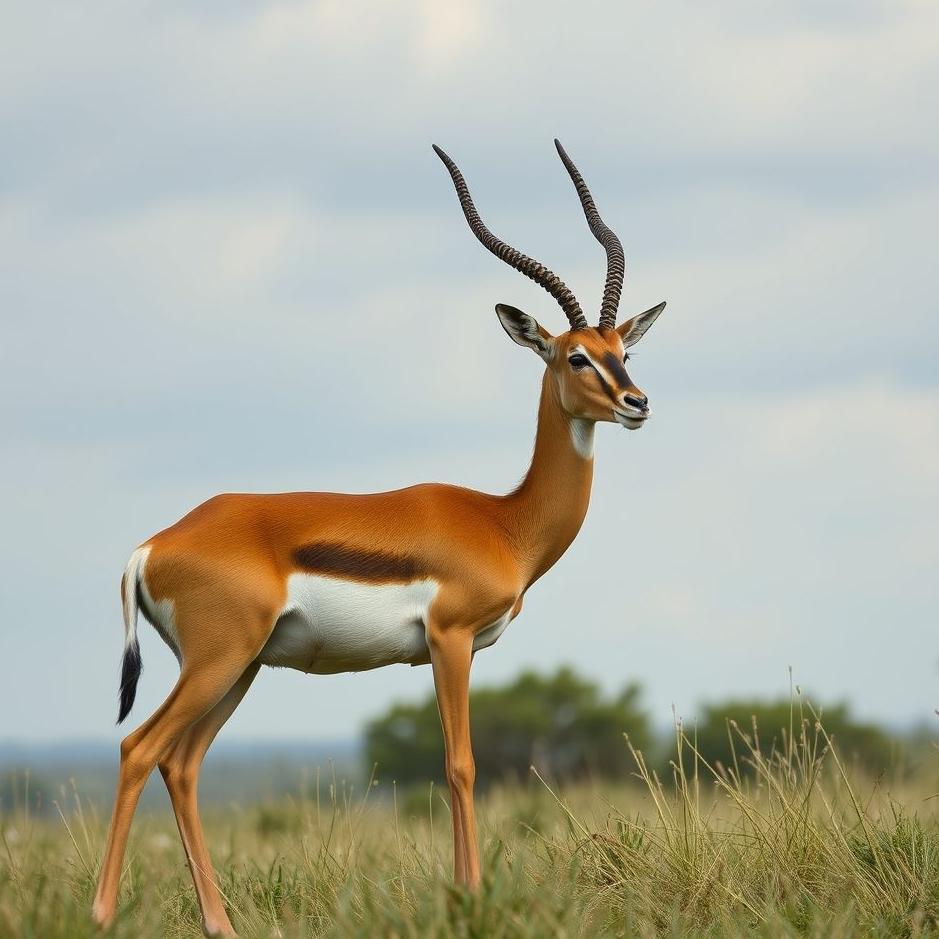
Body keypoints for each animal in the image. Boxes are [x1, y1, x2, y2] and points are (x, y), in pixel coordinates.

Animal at [92, 140, 666, 936]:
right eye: (574, 355)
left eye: (622, 351)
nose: (637, 402)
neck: (502, 521)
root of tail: (153, 545)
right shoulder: (450, 639)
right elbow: (461, 765)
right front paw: (471, 899)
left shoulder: (449, 650)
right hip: (217, 661)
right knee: (136, 748)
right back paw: (101, 913)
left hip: (238, 667)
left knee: (182, 764)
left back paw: (221, 923)